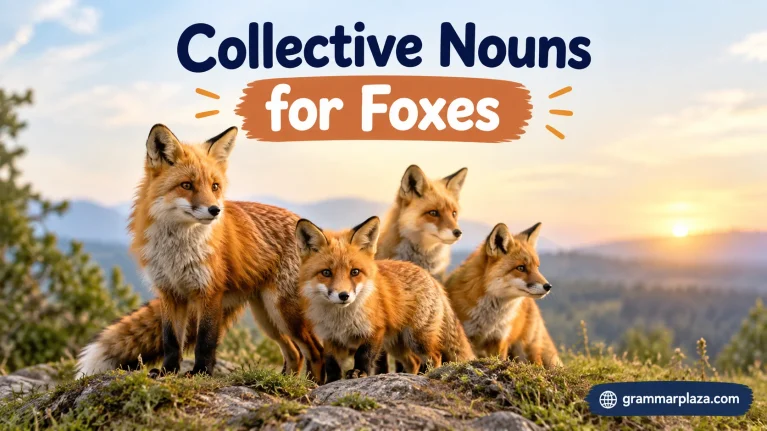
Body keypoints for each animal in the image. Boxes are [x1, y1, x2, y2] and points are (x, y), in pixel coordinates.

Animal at [76, 124, 324, 381]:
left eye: (215, 186)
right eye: (186, 185)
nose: (215, 210)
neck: (177, 250)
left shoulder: (210, 292)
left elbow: (205, 342)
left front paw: (201, 372)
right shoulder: (169, 292)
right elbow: (171, 341)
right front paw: (168, 371)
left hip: (284, 312)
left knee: (316, 351)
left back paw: (315, 385)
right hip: (267, 317)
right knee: (295, 354)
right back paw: (285, 380)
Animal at [295, 216, 474, 383]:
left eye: (355, 272)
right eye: (326, 273)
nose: (344, 295)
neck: (341, 319)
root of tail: (431, 278)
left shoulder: (374, 330)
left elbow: (364, 355)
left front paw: (359, 372)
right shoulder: (330, 337)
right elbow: (331, 362)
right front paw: (330, 381)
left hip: (417, 339)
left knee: (435, 356)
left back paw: (427, 376)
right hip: (396, 344)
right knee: (414, 361)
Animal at [445, 222, 562, 368]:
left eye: (537, 267)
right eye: (521, 268)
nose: (548, 286)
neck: (489, 318)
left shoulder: (500, 340)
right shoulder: (467, 336)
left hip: (527, 350)